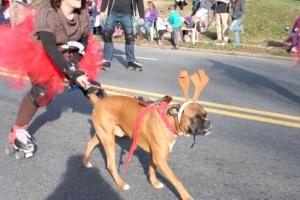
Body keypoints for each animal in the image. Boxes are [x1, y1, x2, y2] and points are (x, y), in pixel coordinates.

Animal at [82, 69, 212, 200]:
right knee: (110, 164)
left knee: (90, 144)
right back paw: (121, 183)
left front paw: (154, 183)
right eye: (195, 118)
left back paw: (85, 162)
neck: (169, 120)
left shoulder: (155, 155)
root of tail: (99, 101)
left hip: (104, 135)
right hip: (109, 139)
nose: (209, 123)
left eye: (205, 114)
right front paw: (186, 196)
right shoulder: (160, 159)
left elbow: (152, 168)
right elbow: (176, 180)